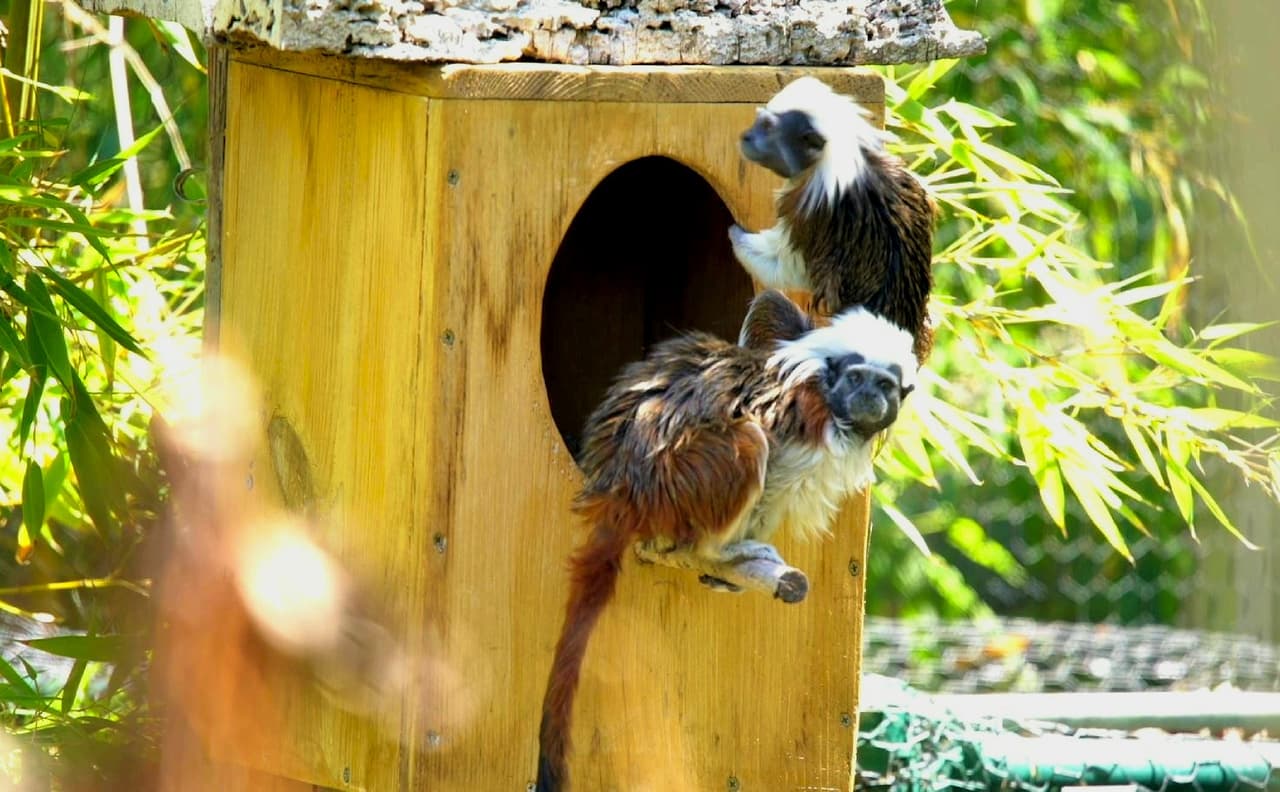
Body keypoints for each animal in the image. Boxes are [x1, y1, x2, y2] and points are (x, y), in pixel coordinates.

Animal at [535, 290, 917, 792]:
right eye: (856, 379)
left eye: (885, 386)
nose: (869, 396)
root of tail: (622, 491)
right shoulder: (807, 420)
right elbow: (775, 467)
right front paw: (745, 546)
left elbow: (771, 305)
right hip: (680, 479)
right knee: (749, 439)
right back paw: (717, 549)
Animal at [729, 76, 937, 362]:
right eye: (758, 122)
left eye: (768, 128)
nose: (746, 137)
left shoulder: (812, 209)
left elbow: (781, 267)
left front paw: (733, 232)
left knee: (768, 302)